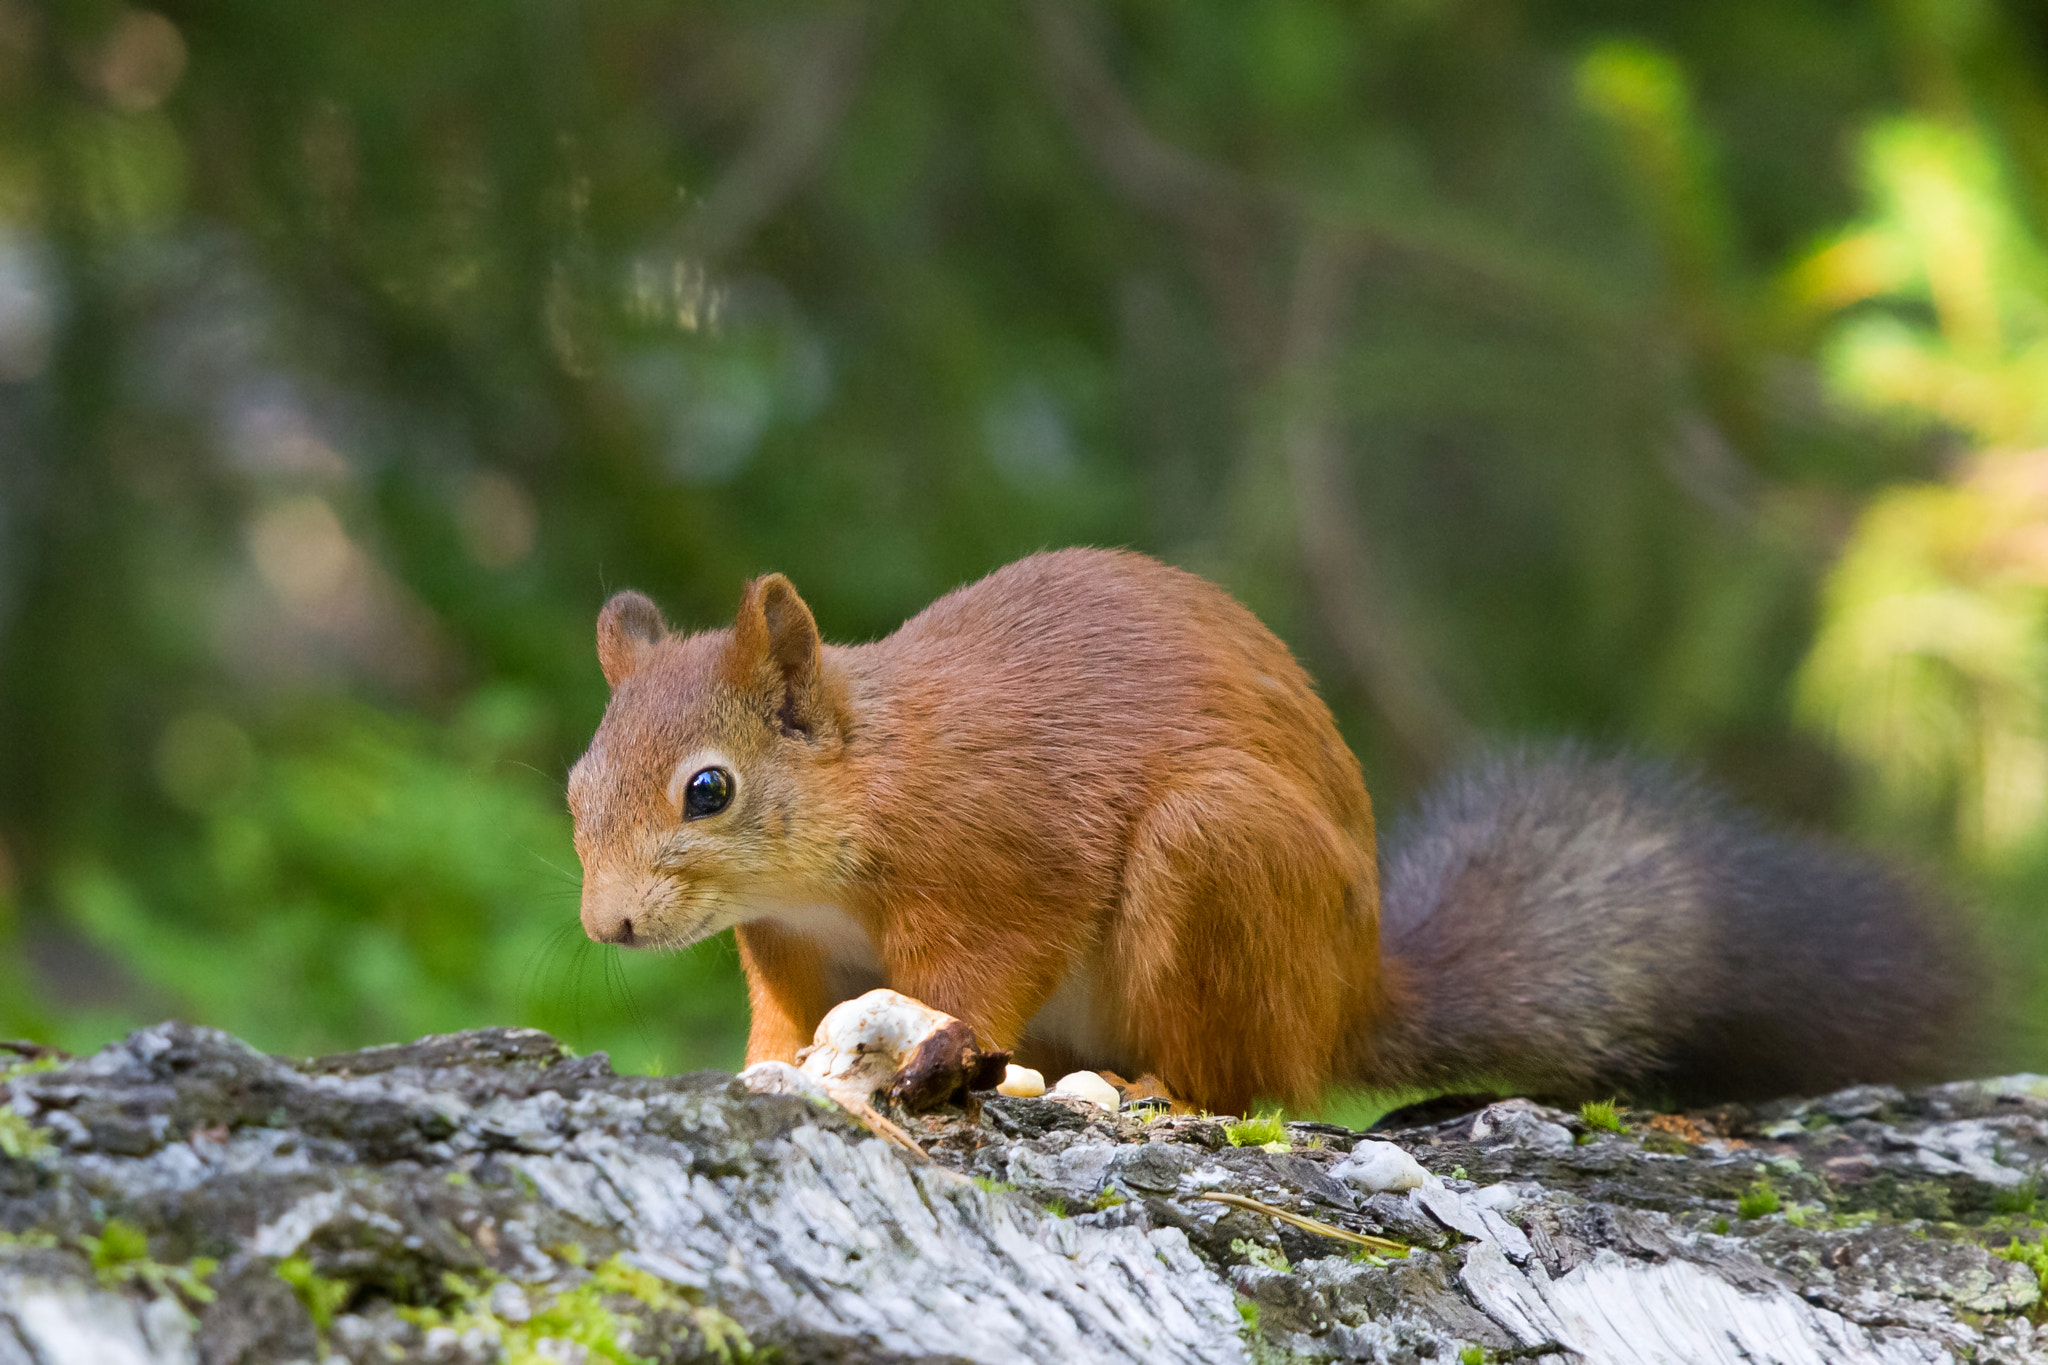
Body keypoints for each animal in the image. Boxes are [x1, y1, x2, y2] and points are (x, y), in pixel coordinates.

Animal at [569, 548, 1977, 1115]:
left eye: (708, 790)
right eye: (578, 788)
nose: (609, 926)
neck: (869, 784)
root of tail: (1346, 999)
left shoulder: (997, 853)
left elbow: (985, 964)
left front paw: (933, 1051)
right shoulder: (790, 944)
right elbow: (781, 1018)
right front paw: (759, 1068)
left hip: (1219, 861)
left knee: (1242, 1080)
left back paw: (1147, 1091)